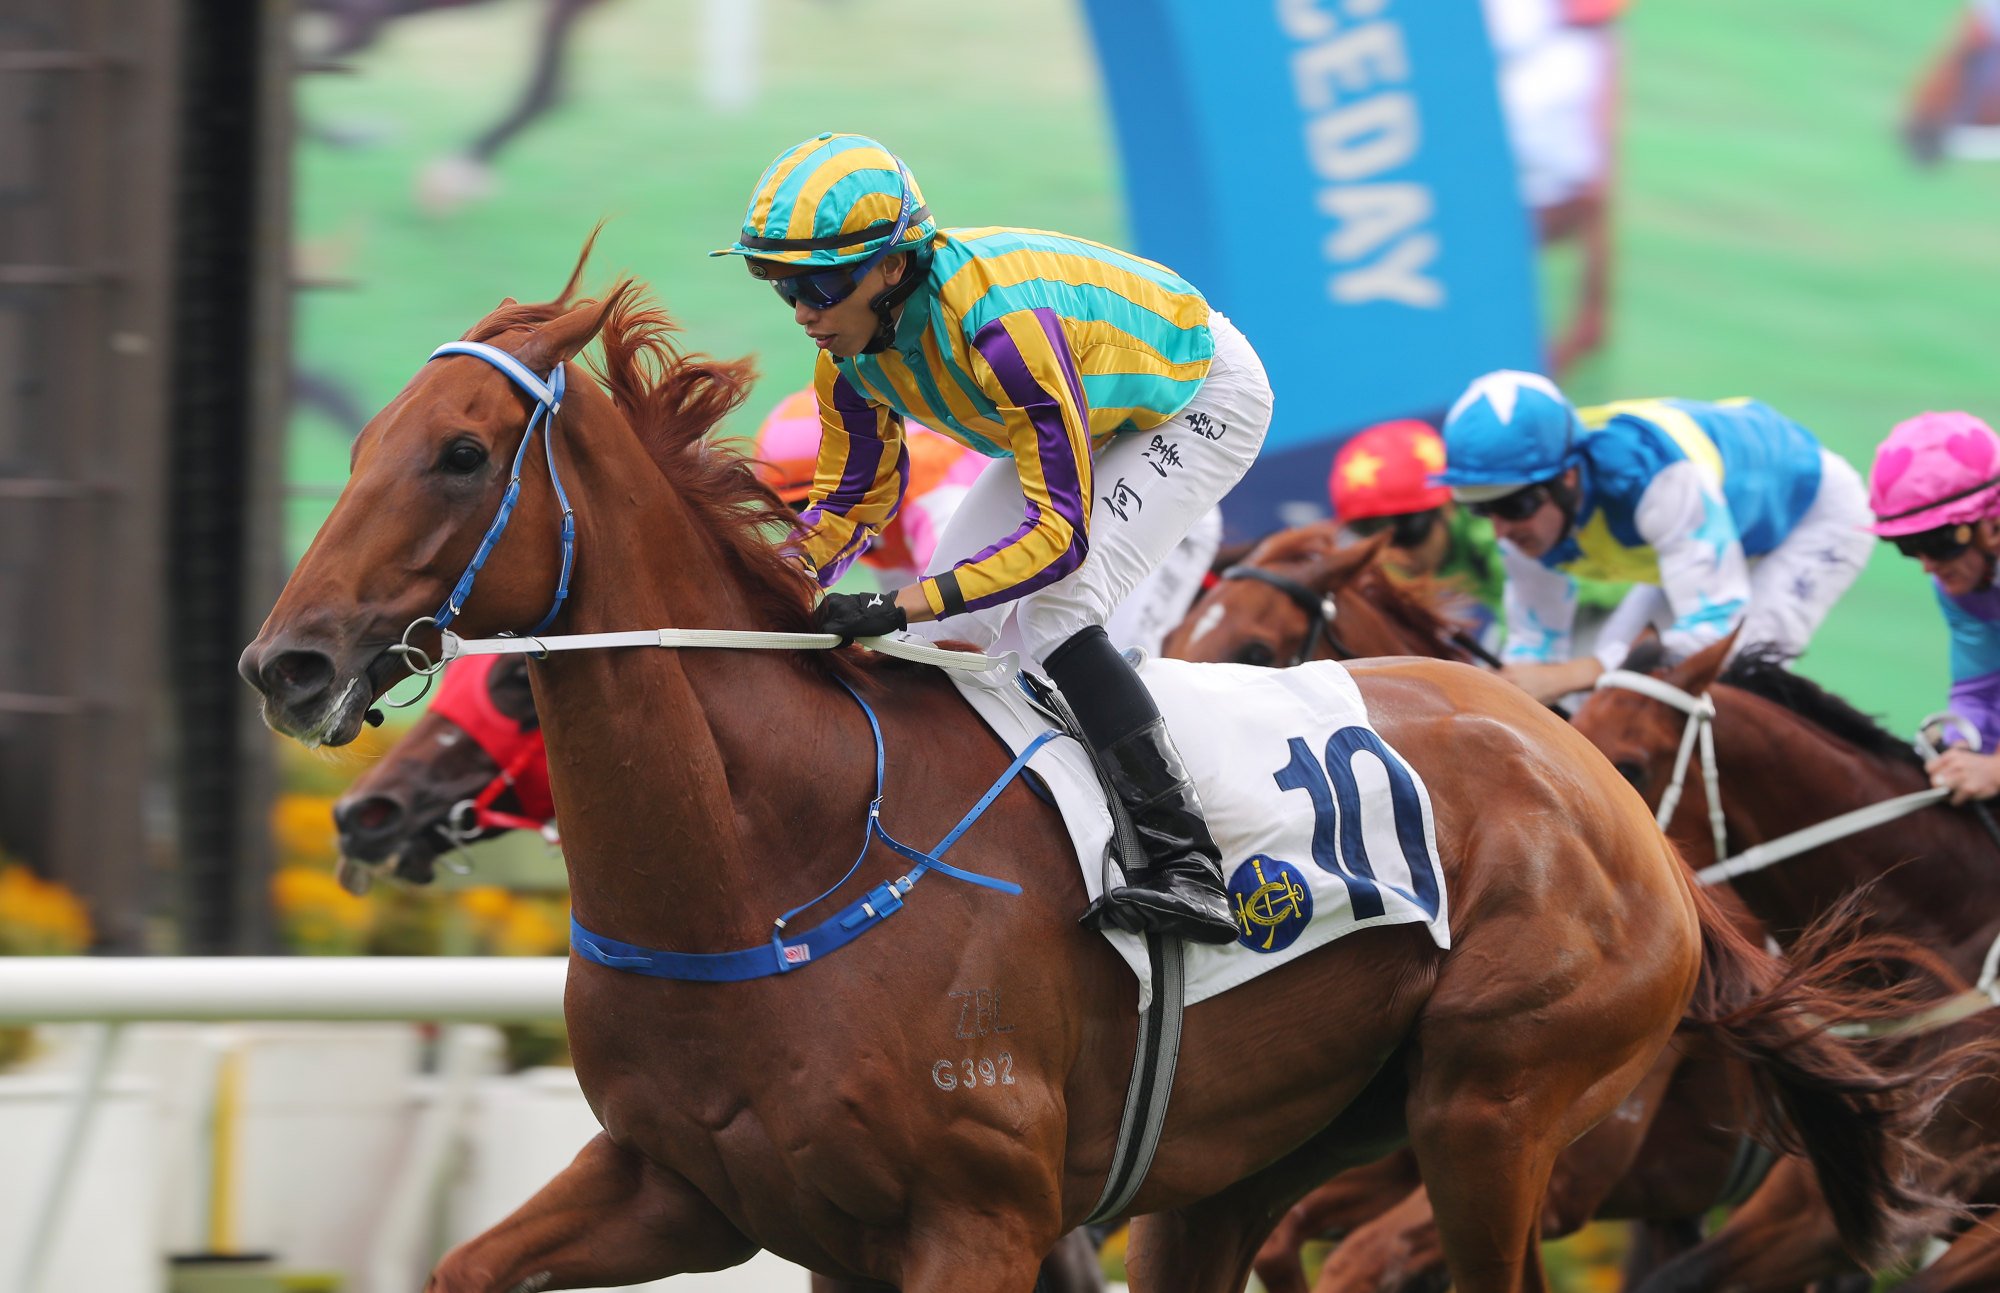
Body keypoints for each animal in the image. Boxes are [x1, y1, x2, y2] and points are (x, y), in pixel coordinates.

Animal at [242, 256, 1960, 1293]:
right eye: (368, 437)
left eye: (461, 454)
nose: (289, 665)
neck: (776, 857)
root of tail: (1612, 803)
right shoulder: (696, 1186)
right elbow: (465, 1261)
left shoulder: (977, 1219)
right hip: (1256, 1162)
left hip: (1500, 1110)